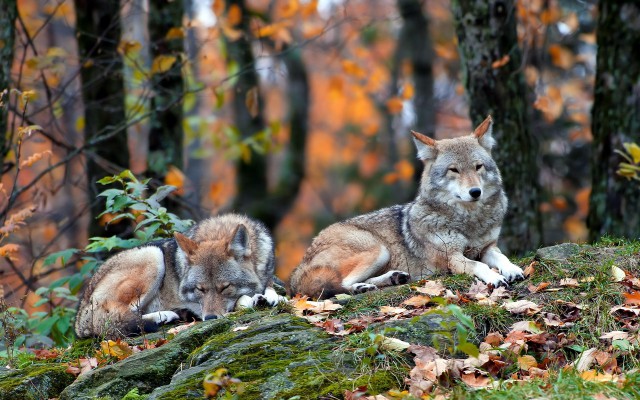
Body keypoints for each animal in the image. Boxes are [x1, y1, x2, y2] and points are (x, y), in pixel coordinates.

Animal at [75, 212, 280, 338]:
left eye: (225, 287)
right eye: (200, 289)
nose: (210, 319)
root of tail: (80, 316)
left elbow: (271, 287)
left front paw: (270, 296)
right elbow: (241, 300)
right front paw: (252, 299)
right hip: (153, 257)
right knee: (116, 320)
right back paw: (163, 316)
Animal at [290, 114, 524, 298]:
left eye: (478, 167)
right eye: (454, 170)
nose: (475, 192)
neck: (469, 222)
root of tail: (298, 268)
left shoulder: (487, 247)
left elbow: (501, 257)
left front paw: (513, 269)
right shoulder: (452, 258)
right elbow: (480, 265)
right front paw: (495, 277)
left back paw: (392, 278)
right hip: (378, 249)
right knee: (340, 285)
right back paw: (361, 288)